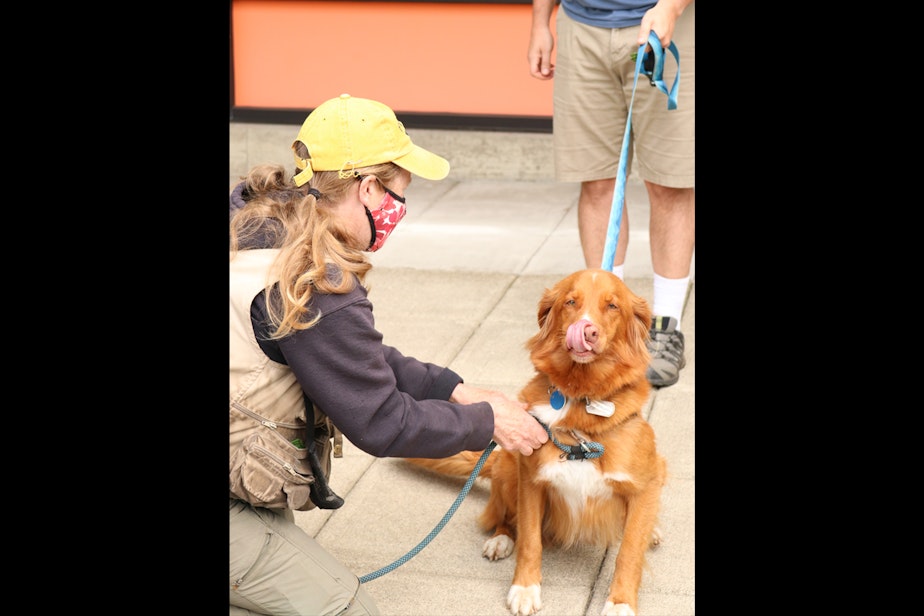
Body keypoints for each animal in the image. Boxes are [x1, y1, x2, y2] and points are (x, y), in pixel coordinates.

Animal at [410, 270, 664, 616]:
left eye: (612, 306)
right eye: (570, 302)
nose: (587, 330)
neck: (581, 400)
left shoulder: (646, 482)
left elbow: (629, 551)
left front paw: (620, 601)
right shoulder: (531, 478)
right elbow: (530, 540)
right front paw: (525, 588)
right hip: (508, 466)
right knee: (504, 519)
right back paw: (500, 539)